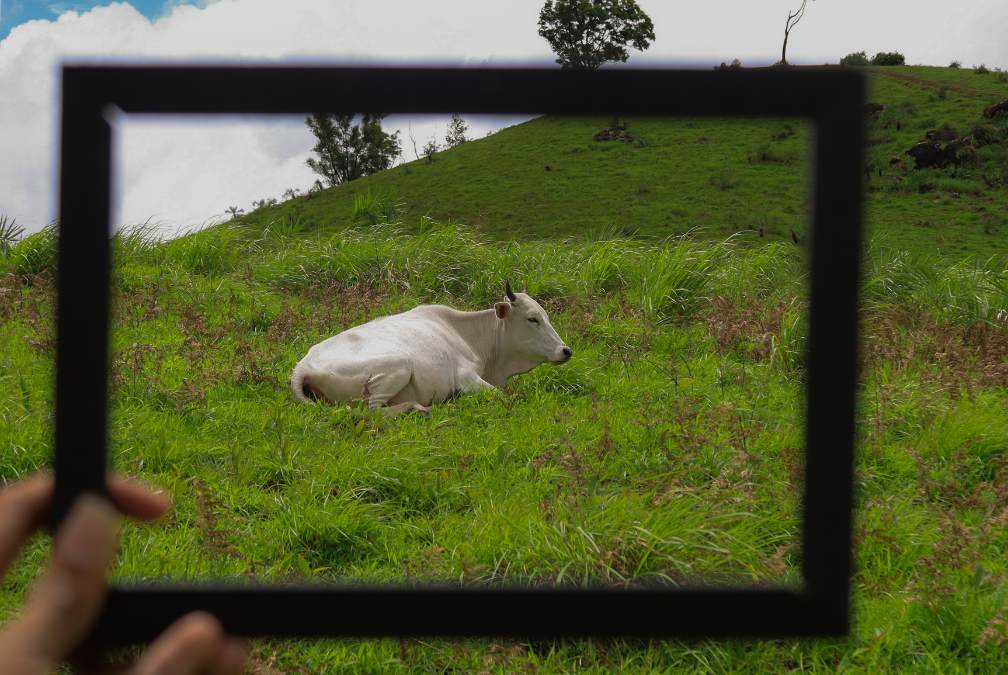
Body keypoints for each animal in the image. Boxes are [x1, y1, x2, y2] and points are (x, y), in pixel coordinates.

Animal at [294, 282, 576, 417]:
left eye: (545, 316)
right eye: (532, 319)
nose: (566, 351)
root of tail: (302, 367)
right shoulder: (466, 378)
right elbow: (503, 397)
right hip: (398, 366)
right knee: (372, 411)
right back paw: (420, 408)